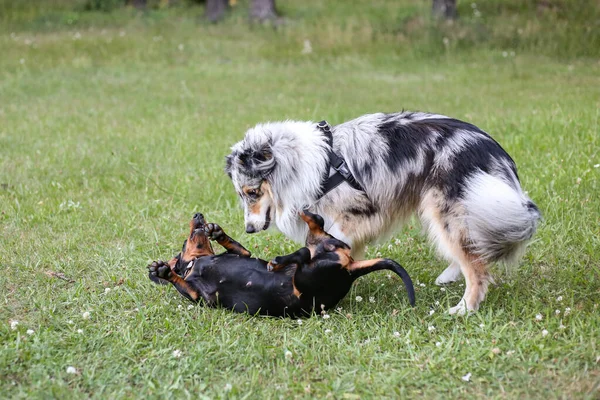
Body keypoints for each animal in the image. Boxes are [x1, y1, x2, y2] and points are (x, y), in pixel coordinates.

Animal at [148, 211, 414, 318]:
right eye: (186, 242)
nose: (198, 216)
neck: (196, 263)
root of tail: (350, 269)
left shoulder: (242, 253)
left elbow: (237, 246)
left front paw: (217, 231)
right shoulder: (201, 297)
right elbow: (180, 281)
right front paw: (163, 271)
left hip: (312, 267)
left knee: (307, 245)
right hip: (309, 277)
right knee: (307, 247)